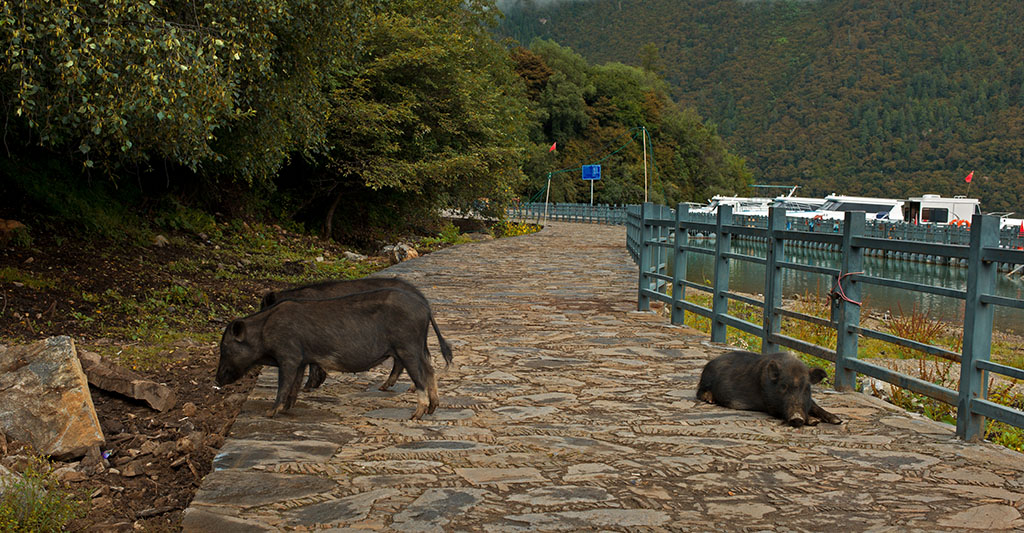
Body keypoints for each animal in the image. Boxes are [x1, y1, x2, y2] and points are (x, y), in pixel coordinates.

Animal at [216, 288, 440, 417]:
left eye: (225, 347)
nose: (217, 380)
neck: (264, 332)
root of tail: (425, 308)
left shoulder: (289, 356)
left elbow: (284, 384)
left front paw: (270, 413)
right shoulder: (301, 359)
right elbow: (294, 385)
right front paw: (288, 409)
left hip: (407, 346)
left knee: (420, 375)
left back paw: (416, 415)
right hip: (415, 347)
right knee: (430, 370)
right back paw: (432, 409)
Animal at [696, 349, 839, 427]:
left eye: (807, 388)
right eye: (783, 386)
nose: (797, 417)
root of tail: (709, 363)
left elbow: (814, 405)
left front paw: (837, 420)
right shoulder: (770, 405)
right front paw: (814, 421)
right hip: (706, 380)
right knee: (700, 392)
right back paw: (710, 400)